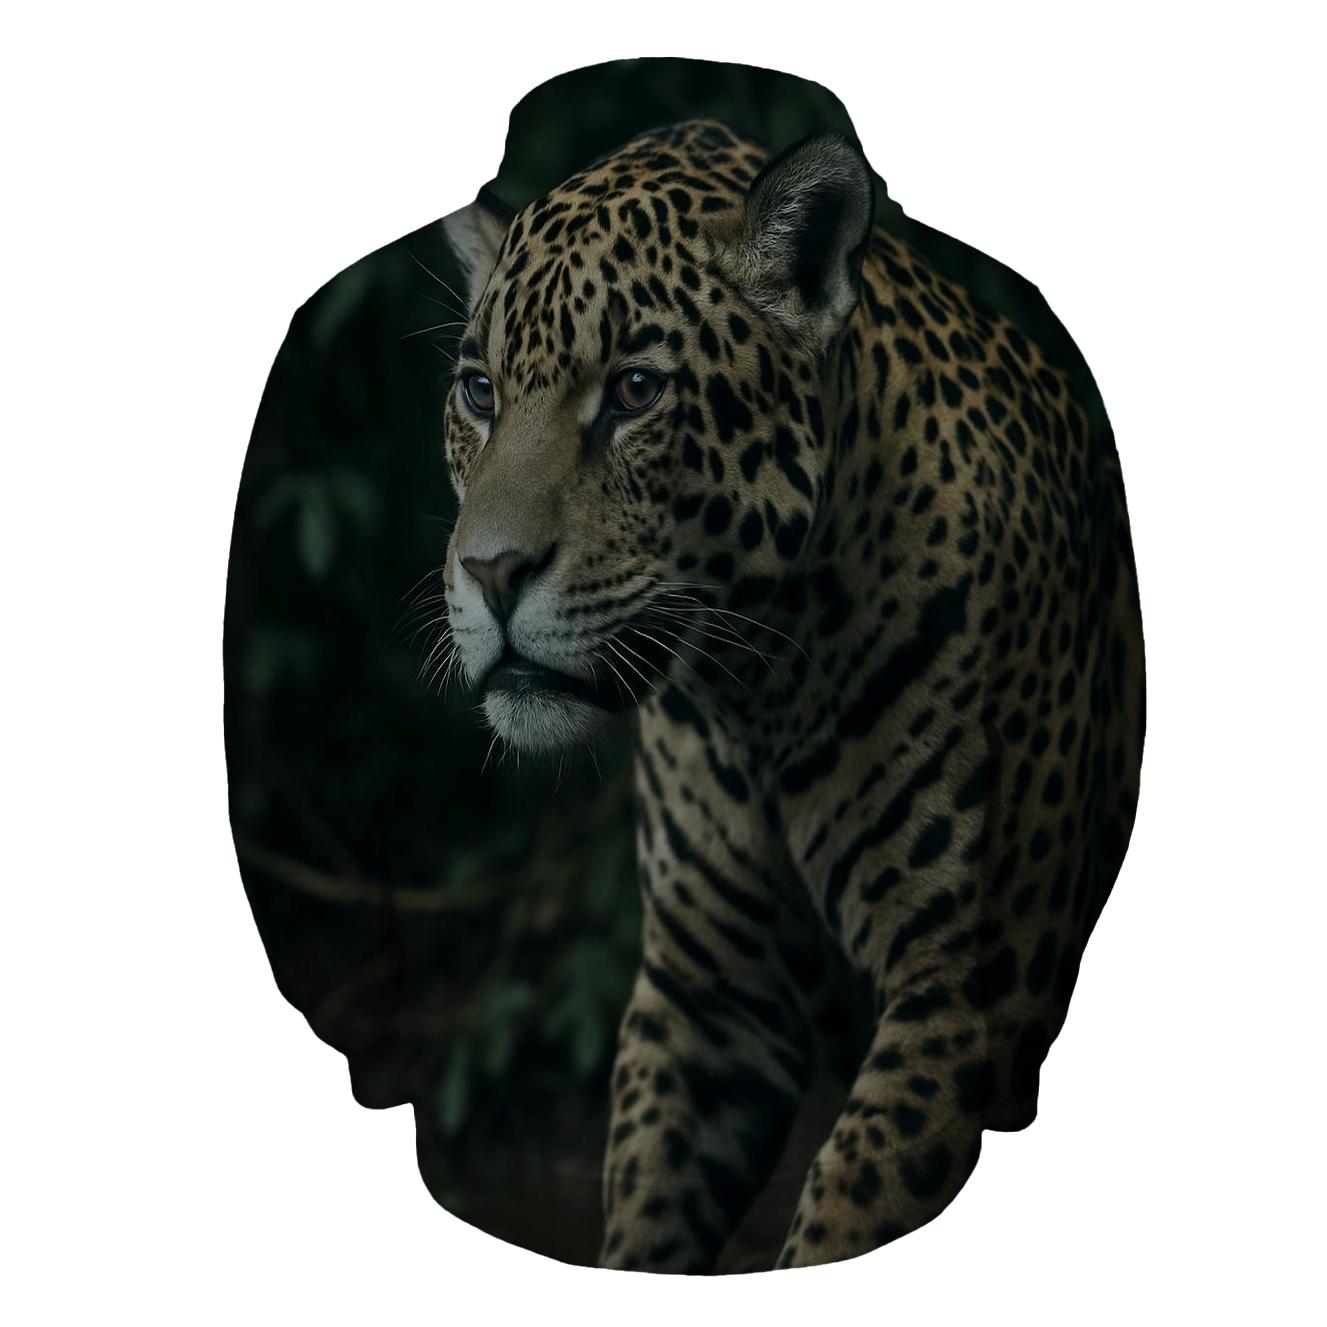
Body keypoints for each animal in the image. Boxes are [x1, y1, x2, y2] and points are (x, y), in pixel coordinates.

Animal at [439, 118, 1144, 1272]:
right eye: (480, 392)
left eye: (636, 390)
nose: (491, 573)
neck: (758, 683)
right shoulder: (708, 998)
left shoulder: (967, 993)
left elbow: (843, 1212)